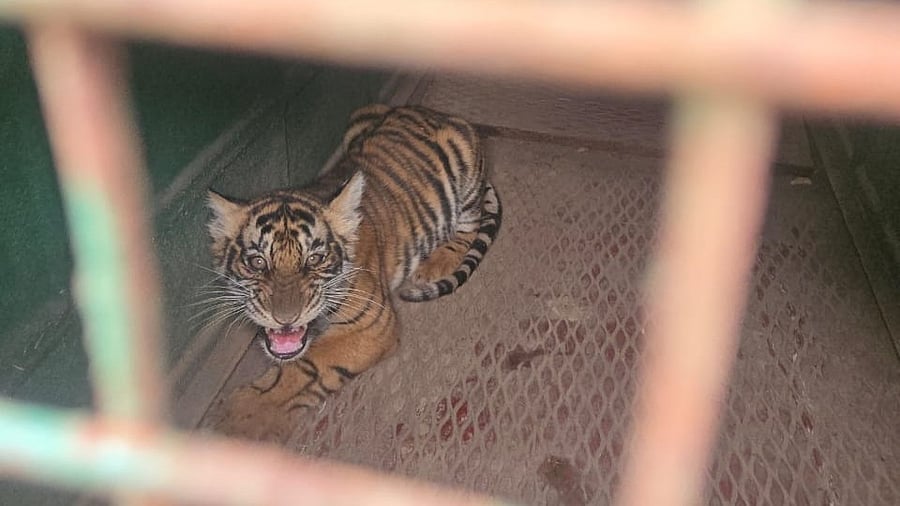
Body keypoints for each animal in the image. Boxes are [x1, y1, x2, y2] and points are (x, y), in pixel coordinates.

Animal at [204, 104, 502, 441]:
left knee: (469, 226)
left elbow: (307, 366)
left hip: (465, 174)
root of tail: (435, 112)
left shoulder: (371, 325)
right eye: (256, 262)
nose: (285, 318)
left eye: (315, 258)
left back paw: (434, 263)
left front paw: (241, 418)